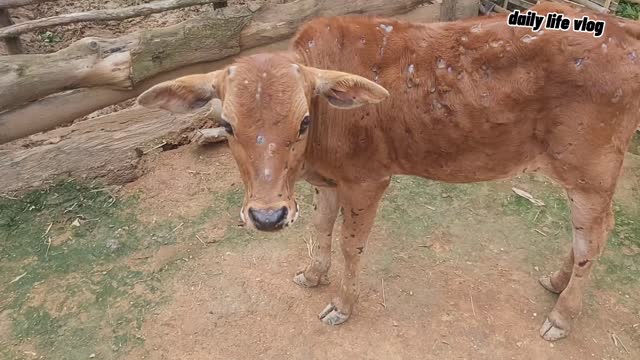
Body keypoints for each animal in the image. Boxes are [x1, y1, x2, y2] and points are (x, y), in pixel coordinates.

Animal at [136, 2, 640, 340]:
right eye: (227, 124)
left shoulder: (368, 179)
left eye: (303, 121)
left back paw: (561, 316)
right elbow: (320, 229)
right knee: (594, 230)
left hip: (591, 169)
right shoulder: (327, 183)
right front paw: (312, 275)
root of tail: (623, 28)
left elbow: (350, 244)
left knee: (594, 236)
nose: (267, 216)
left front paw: (341, 305)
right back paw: (555, 283)